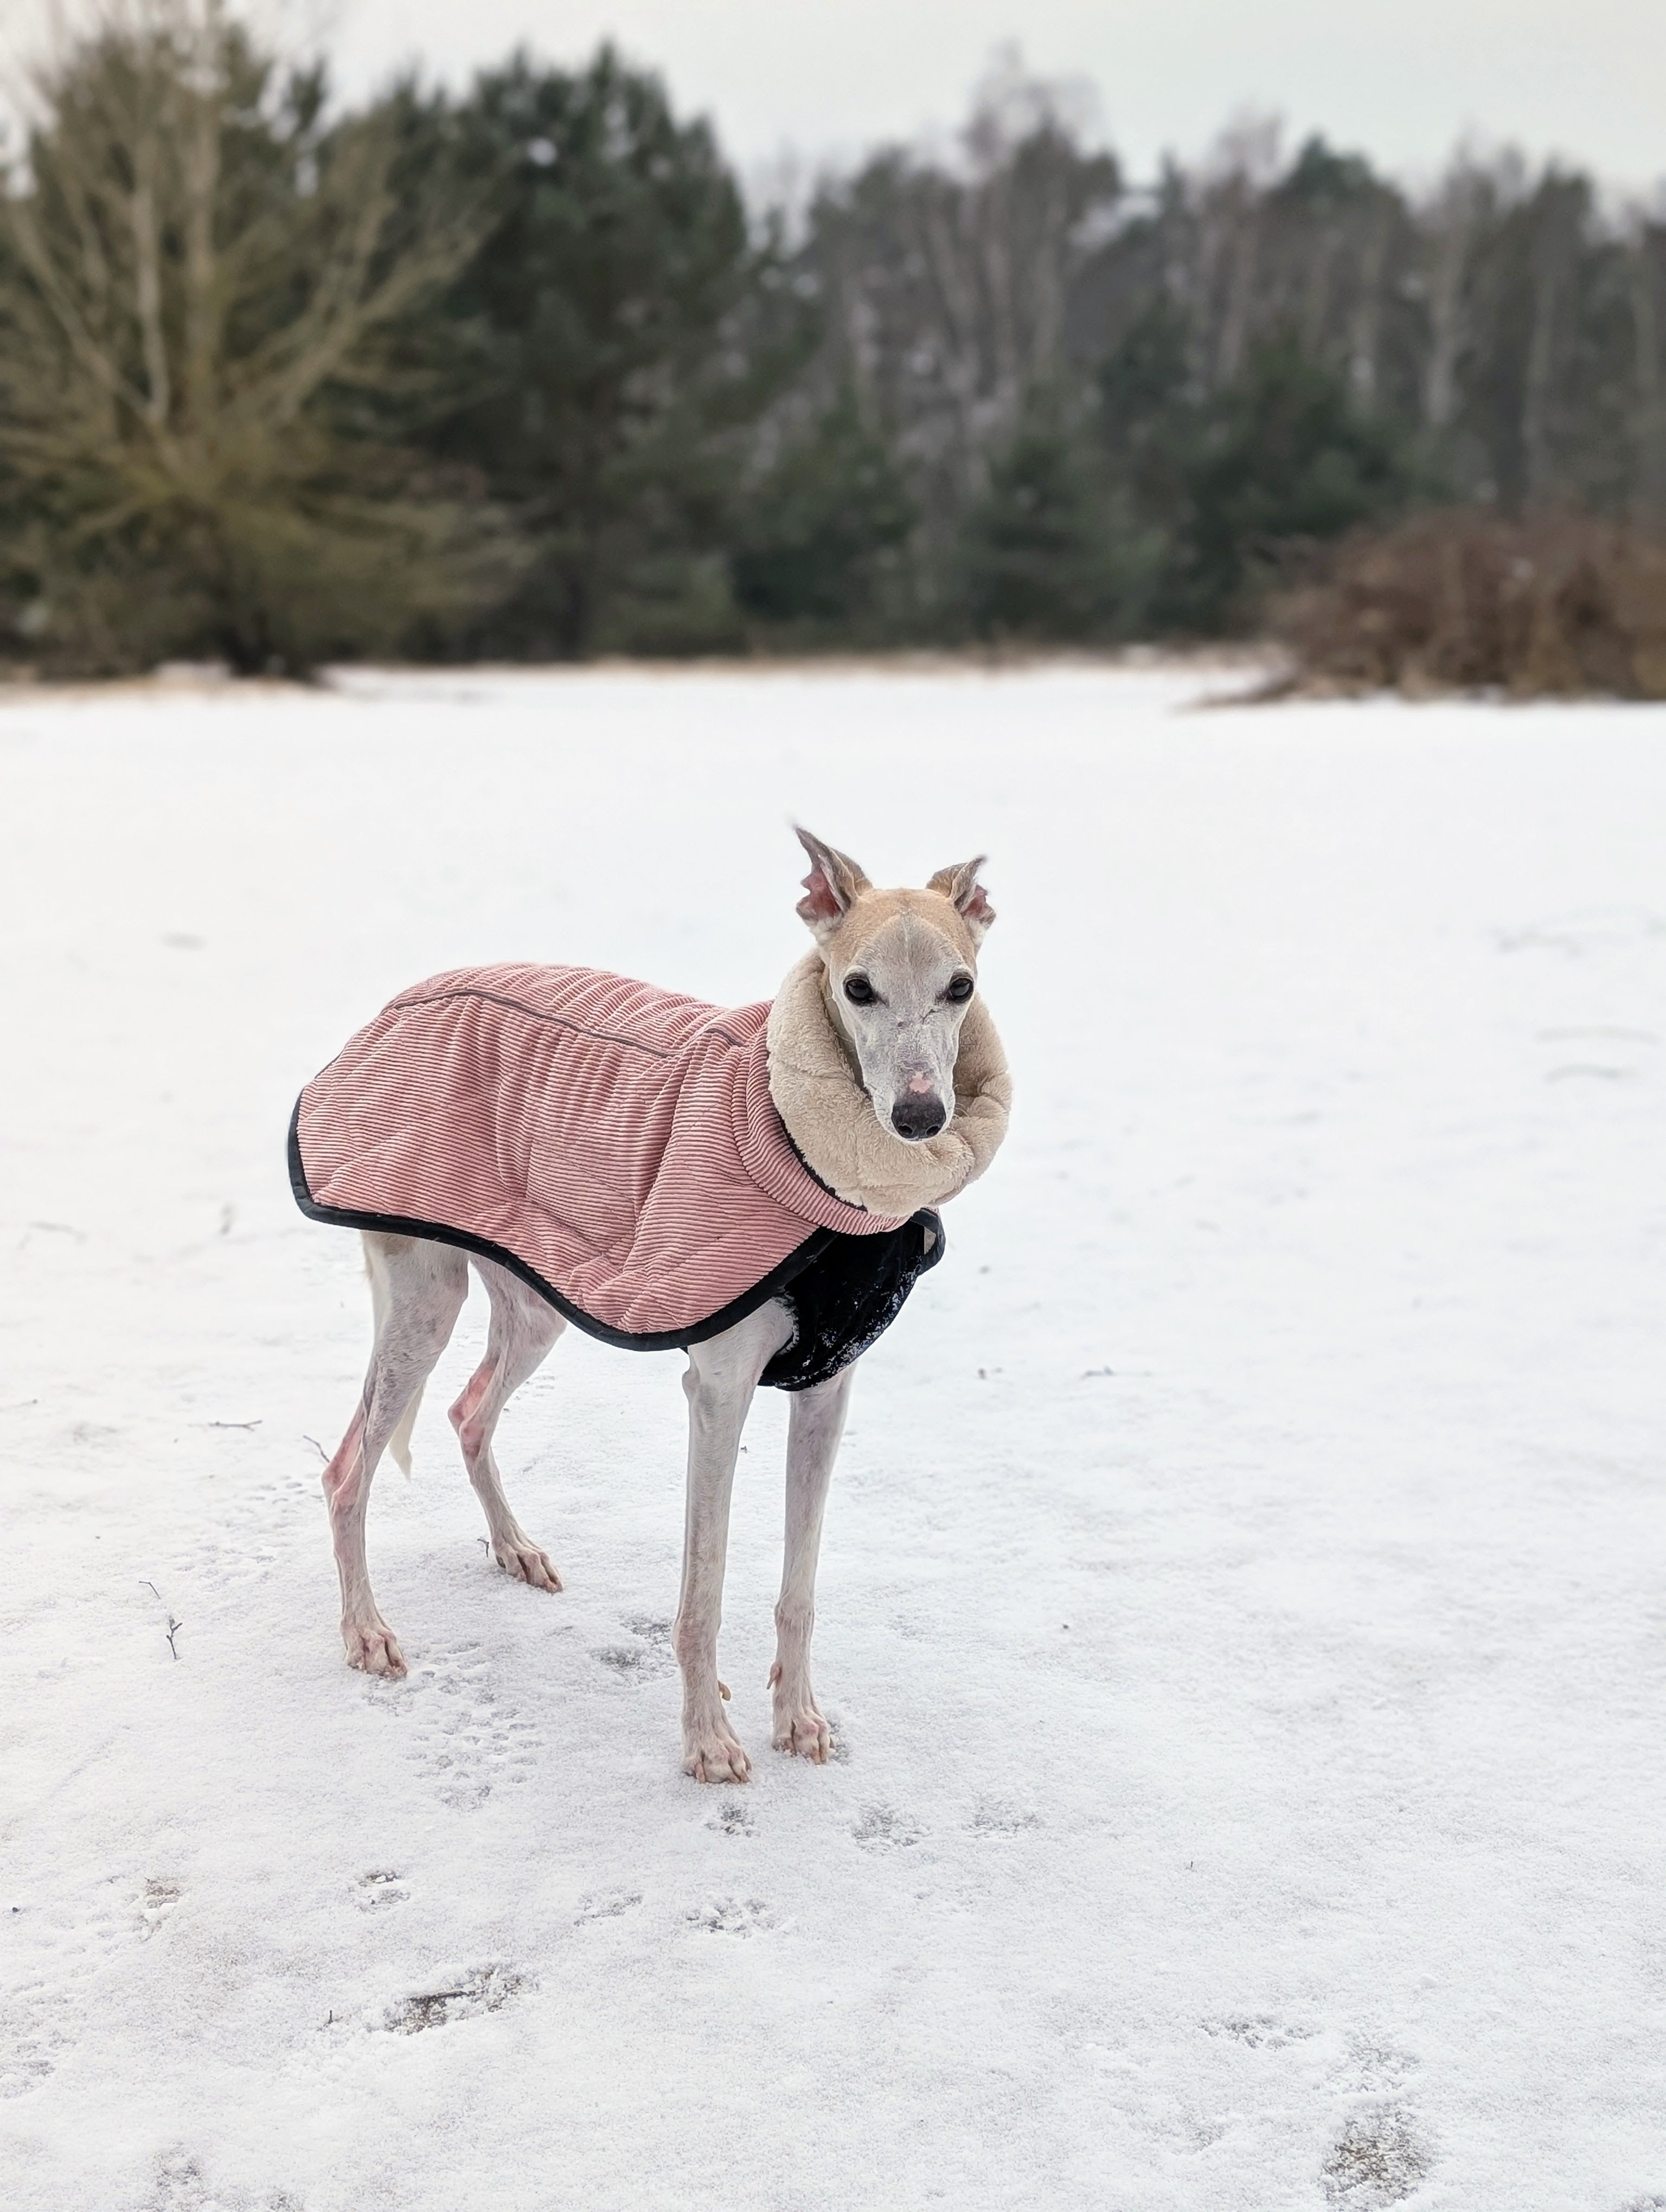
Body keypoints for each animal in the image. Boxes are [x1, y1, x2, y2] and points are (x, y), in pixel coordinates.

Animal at [294, 830, 1010, 1781]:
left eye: (959, 987)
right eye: (858, 987)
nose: (921, 1117)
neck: (816, 1163)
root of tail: (389, 1010)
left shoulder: (828, 1387)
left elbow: (801, 1585)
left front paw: (798, 1718)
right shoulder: (718, 1392)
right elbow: (701, 1595)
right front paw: (708, 1741)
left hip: (536, 1301)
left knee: (469, 1411)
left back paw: (514, 1548)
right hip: (425, 1300)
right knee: (347, 1473)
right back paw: (367, 1632)